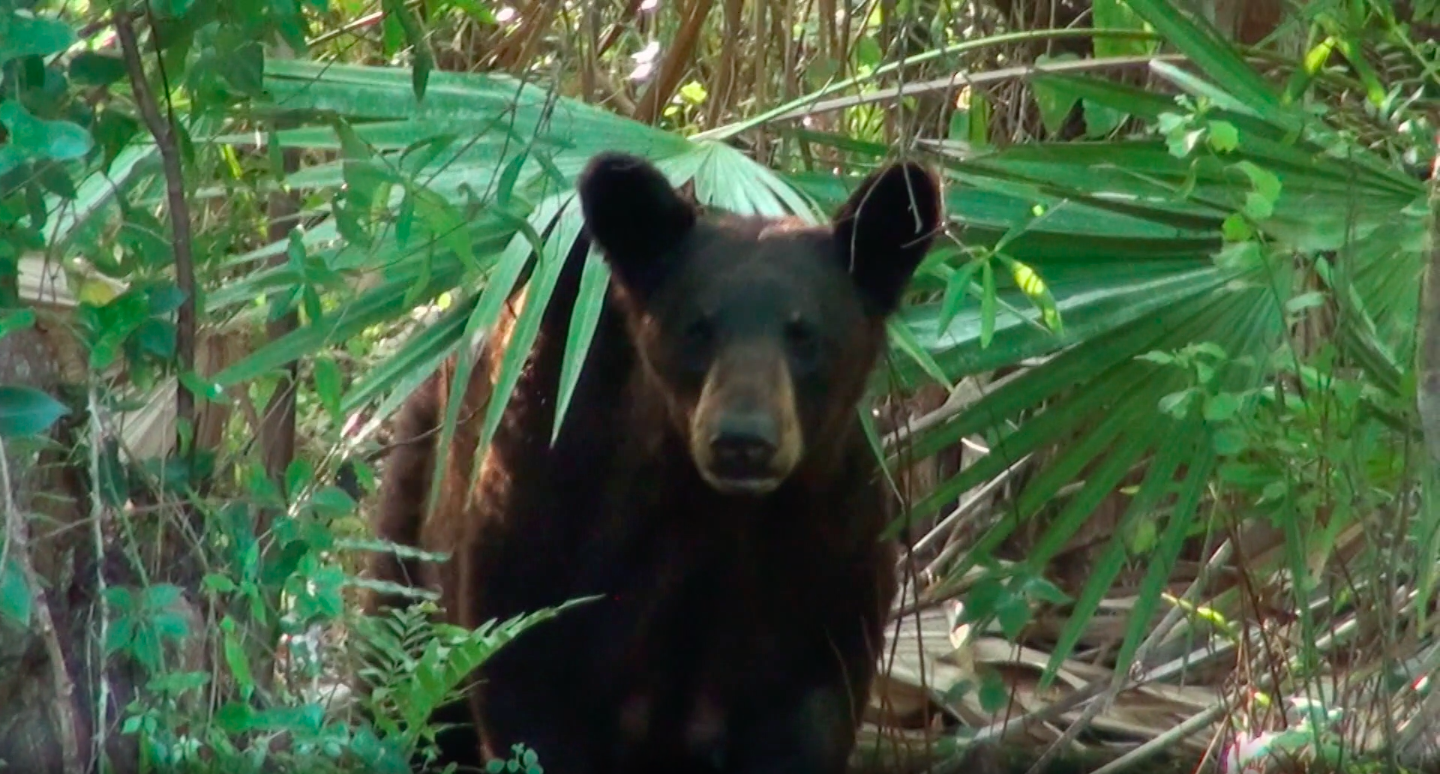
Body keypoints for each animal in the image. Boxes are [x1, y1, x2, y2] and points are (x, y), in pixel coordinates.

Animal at [365, 150, 943, 774]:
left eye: (805, 333)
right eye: (698, 328)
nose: (742, 440)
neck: (714, 516)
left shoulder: (829, 574)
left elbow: (804, 720)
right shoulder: (547, 531)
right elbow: (531, 699)